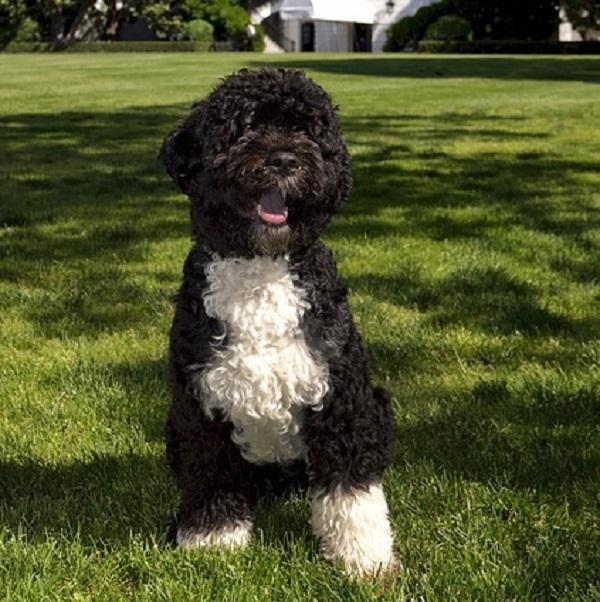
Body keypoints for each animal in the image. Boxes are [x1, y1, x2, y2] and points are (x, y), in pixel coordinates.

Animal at [159, 68, 395, 578]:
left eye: (306, 130)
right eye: (242, 128)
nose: (284, 159)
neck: (260, 270)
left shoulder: (342, 402)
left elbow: (351, 493)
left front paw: (365, 557)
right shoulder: (199, 408)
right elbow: (211, 479)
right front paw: (212, 540)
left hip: (378, 405)